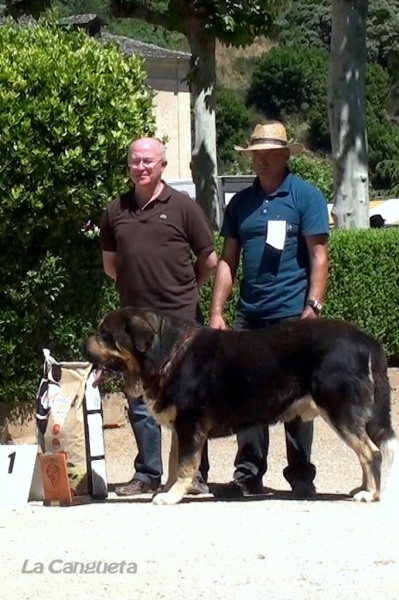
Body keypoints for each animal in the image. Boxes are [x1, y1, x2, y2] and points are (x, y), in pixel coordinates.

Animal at [83, 308, 398, 504]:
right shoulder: (180, 428)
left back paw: (370, 494)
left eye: (104, 335)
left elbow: (184, 465)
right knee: (365, 452)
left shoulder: (189, 425)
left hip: (339, 409)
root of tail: (366, 340)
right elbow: (174, 464)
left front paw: (171, 496)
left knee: (371, 452)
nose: (84, 346)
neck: (167, 353)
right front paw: (171, 490)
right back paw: (363, 488)